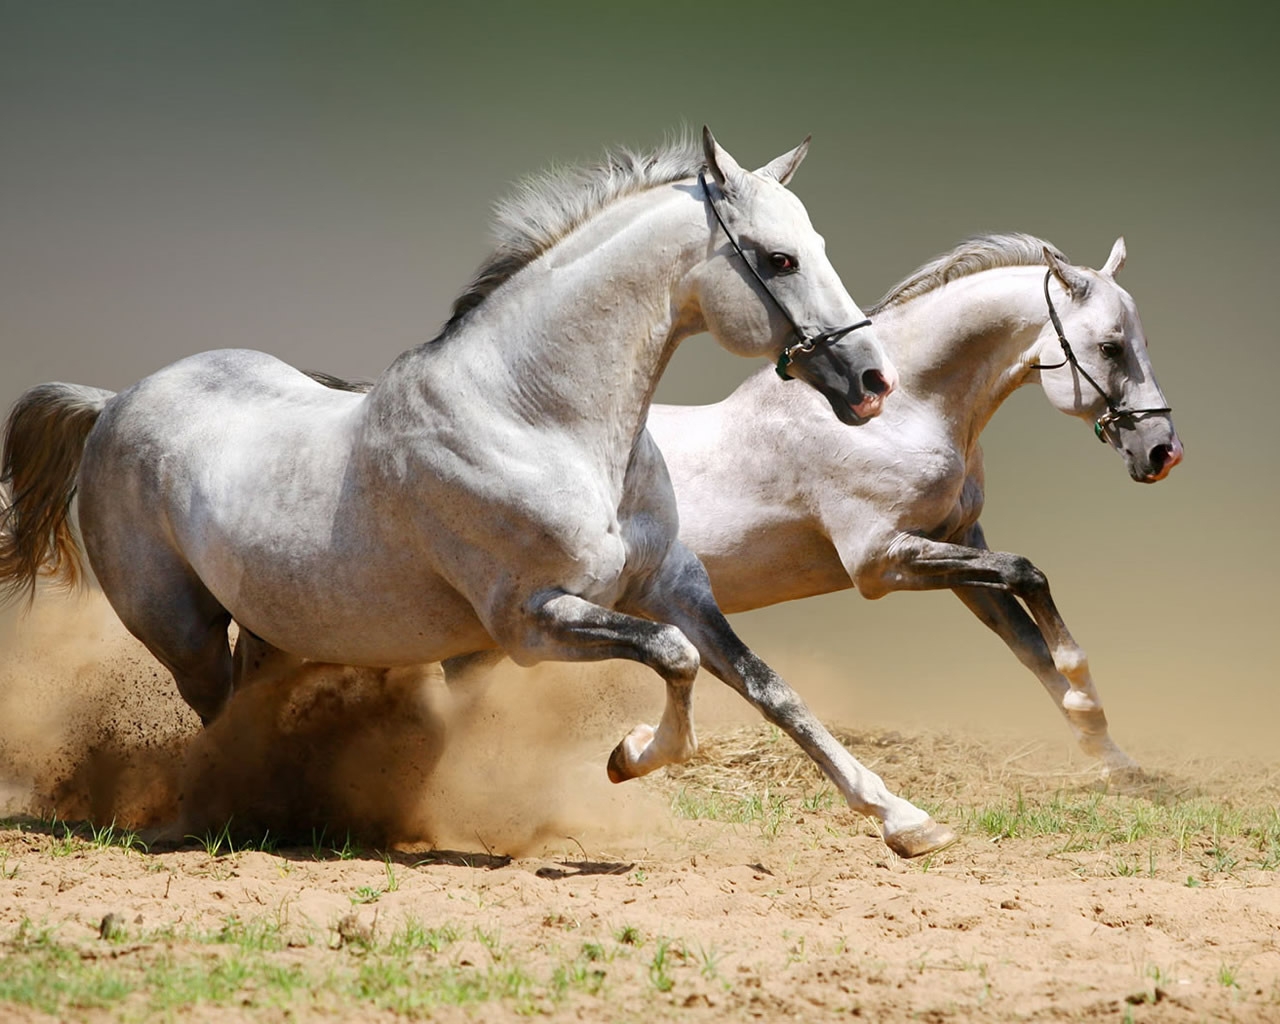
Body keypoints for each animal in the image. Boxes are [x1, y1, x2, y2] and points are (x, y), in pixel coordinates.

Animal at [0, 131, 962, 860]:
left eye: (818, 247)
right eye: (778, 258)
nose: (872, 382)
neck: (537, 418)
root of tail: (113, 403)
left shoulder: (673, 584)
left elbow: (768, 687)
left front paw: (906, 822)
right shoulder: (532, 623)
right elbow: (676, 660)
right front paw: (628, 757)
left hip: (272, 629)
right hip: (182, 631)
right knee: (216, 721)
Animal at [650, 231, 1177, 773]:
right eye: (1110, 348)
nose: (1163, 451)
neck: (901, 414)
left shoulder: (958, 544)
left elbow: (1029, 642)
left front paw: (1111, 756)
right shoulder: (881, 562)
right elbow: (1027, 573)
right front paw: (1084, 694)